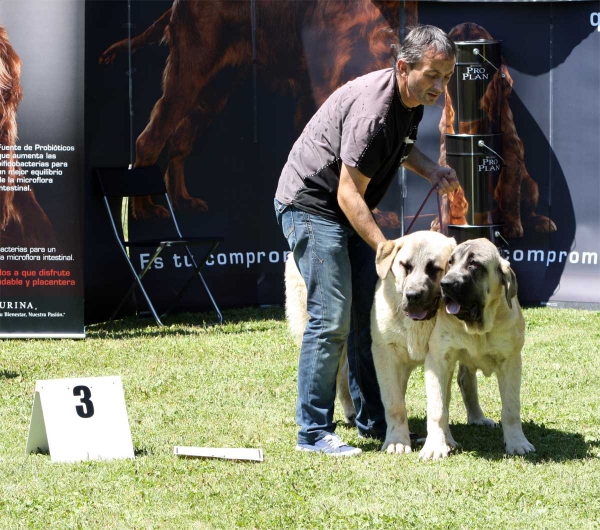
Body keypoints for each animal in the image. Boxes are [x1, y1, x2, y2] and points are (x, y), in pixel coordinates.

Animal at [420, 236, 536, 458]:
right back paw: (448, 439)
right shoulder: (439, 359)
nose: (445, 284)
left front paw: (517, 442)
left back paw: (477, 418)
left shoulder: (510, 361)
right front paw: (435, 446)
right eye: (450, 262)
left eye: (474, 264)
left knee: (466, 381)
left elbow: (511, 408)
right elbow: (438, 408)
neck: (478, 327)